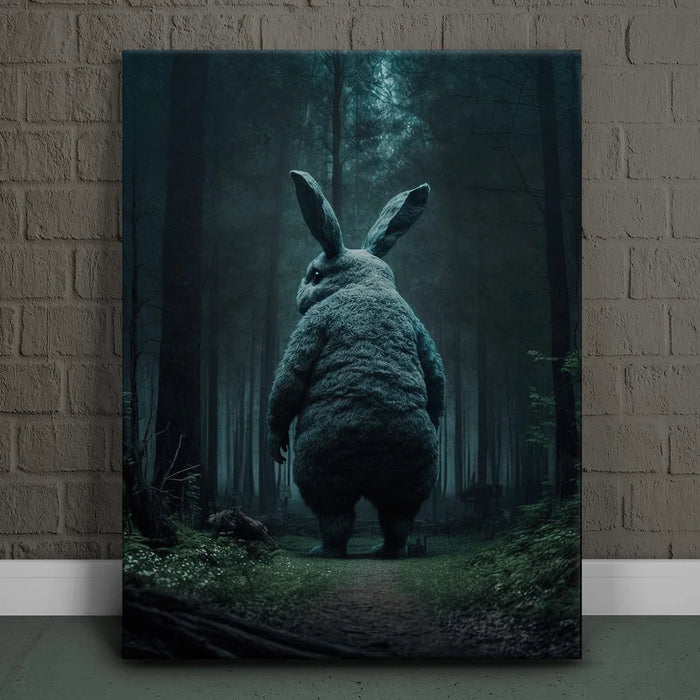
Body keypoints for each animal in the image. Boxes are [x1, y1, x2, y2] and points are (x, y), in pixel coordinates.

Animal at [267, 171, 445, 558]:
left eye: (315, 275)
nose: (298, 296)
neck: (367, 282)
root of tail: (374, 439)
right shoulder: (420, 330)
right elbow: (436, 379)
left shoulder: (314, 325)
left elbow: (288, 384)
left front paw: (274, 442)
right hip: (415, 469)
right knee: (398, 517)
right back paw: (387, 550)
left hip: (318, 462)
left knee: (335, 513)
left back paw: (326, 550)